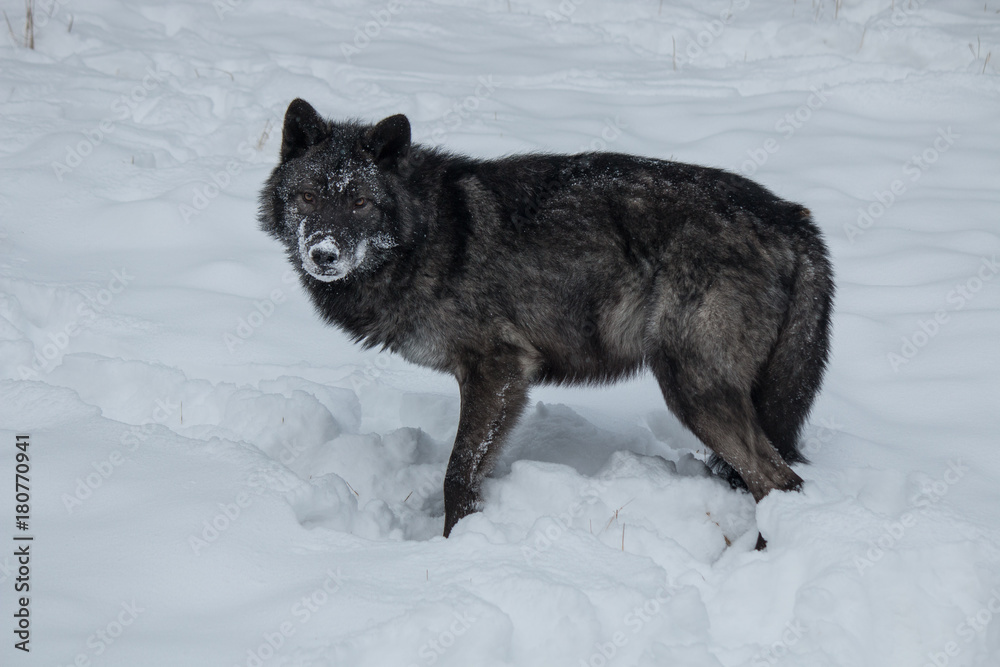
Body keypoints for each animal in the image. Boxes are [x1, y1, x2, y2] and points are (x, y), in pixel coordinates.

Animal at [258, 99, 834, 549]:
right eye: (308, 196)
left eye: (359, 201)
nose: (324, 254)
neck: (425, 233)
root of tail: (792, 216)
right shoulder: (503, 382)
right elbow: (470, 472)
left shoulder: (499, 369)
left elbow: (457, 475)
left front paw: (454, 549)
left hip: (693, 390)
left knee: (780, 482)